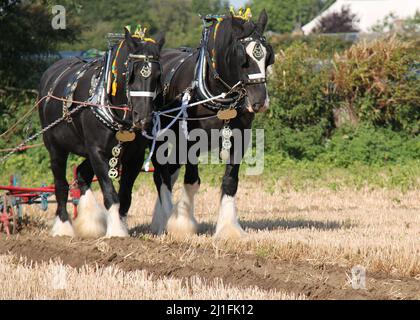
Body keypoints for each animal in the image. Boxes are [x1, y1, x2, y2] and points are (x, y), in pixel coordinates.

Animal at [149, 10, 274, 239]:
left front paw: (229, 229)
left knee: (170, 171)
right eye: (242, 58)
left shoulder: (240, 137)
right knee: (161, 174)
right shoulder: (190, 140)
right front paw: (182, 224)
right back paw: (163, 220)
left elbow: (230, 181)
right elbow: (192, 180)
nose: (260, 102)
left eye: (268, 56)